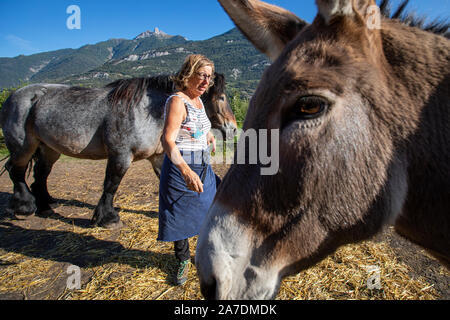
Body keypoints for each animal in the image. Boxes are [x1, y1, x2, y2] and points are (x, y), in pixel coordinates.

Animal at [0, 73, 237, 228]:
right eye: (222, 97)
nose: (234, 129)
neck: (147, 111)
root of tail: (15, 95)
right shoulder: (121, 155)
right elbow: (111, 184)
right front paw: (107, 218)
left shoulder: (158, 156)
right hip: (24, 146)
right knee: (16, 170)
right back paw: (24, 207)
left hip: (49, 149)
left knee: (40, 174)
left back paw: (46, 204)